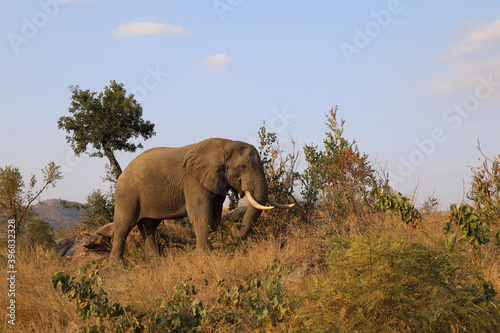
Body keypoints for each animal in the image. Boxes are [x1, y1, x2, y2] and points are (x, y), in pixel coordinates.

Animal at [110, 136, 292, 260]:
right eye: (243, 166)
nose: (234, 225)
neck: (226, 144)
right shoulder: (193, 180)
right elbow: (200, 212)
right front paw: (203, 255)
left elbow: (215, 214)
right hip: (127, 194)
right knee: (123, 226)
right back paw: (118, 267)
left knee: (148, 227)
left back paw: (156, 262)